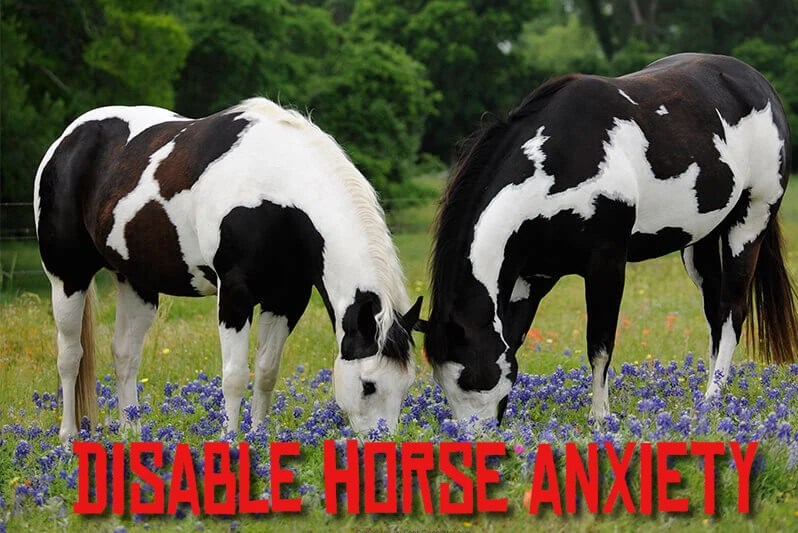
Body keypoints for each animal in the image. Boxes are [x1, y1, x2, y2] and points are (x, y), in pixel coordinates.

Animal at [34, 97, 422, 443]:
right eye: (368, 385)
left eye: (406, 383)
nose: (385, 445)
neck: (277, 187)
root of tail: (67, 139)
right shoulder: (235, 294)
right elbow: (235, 376)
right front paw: (231, 441)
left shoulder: (287, 299)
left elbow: (266, 372)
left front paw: (258, 437)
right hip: (67, 276)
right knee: (70, 356)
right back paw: (68, 439)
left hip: (136, 283)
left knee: (125, 354)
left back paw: (132, 435)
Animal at [422, 53, 798, 424]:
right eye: (442, 383)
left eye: (469, 376)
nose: (474, 437)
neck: (563, 158)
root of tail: (756, 82)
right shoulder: (528, 277)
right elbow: (513, 342)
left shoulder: (606, 263)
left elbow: (599, 345)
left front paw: (600, 417)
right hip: (701, 243)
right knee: (714, 315)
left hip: (749, 223)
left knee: (731, 310)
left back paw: (712, 399)